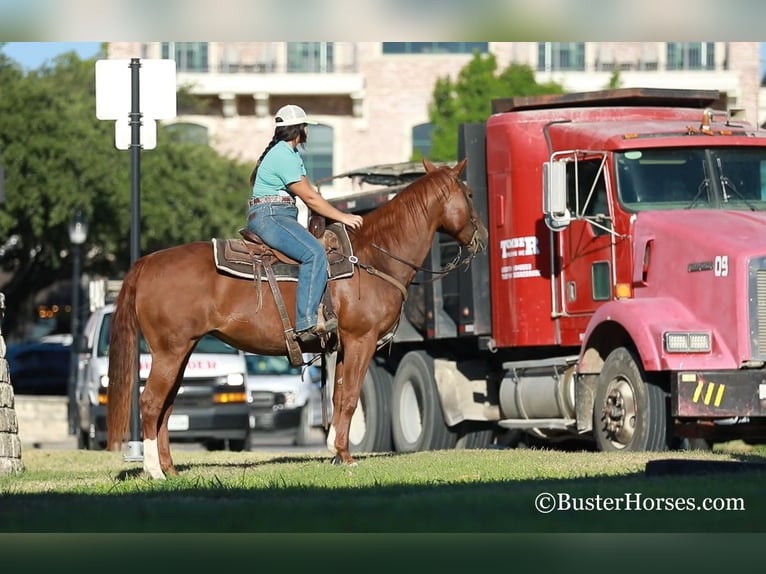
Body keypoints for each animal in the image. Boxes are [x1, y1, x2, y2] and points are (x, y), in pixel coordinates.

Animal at [105, 155, 488, 480]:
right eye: (469, 193)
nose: (481, 236)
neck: (372, 258)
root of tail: (147, 262)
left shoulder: (343, 347)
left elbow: (338, 398)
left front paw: (335, 453)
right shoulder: (361, 341)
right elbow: (350, 397)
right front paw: (346, 457)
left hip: (181, 351)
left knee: (167, 406)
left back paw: (170, 469)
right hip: (170, 351)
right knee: (150, 403)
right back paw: (153, 471)